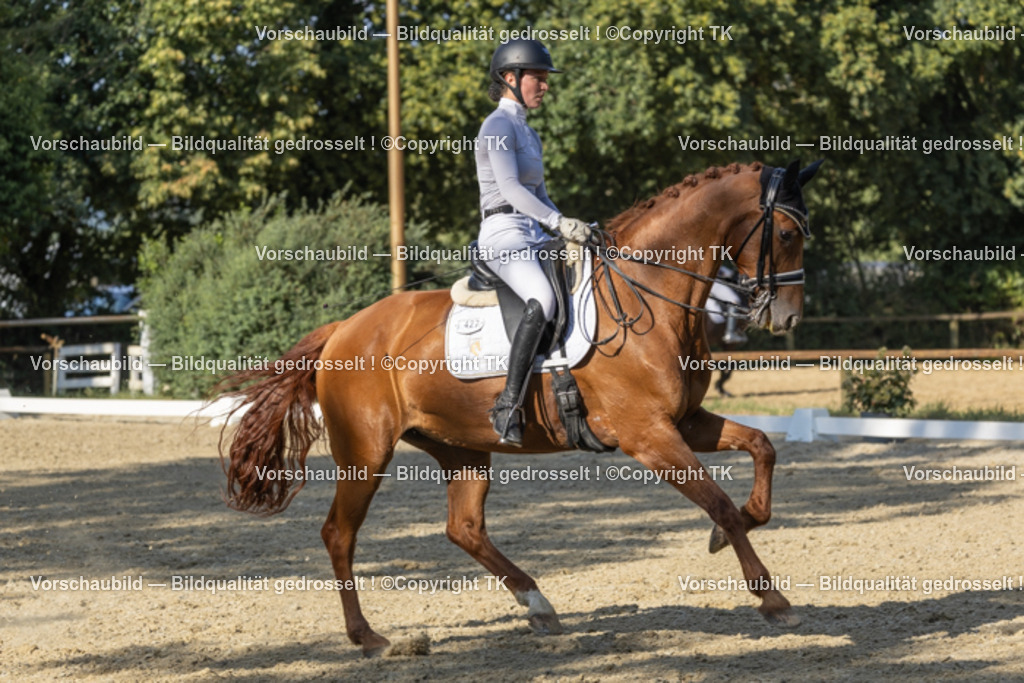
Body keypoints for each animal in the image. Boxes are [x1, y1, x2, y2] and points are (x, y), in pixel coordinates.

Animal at [217, 159, 823, 656]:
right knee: (339, 534)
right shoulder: (649, 435)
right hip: (366, 452)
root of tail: (345, 328)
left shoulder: (685, 423)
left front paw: (736, 529)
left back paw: (539, 606)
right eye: (787, 233)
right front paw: (771, 598)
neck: (647, 293)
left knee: (463, 528)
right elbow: (718, 502)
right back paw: (370, 638)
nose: (788, 318)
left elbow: (762, 448)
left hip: (463, 449)